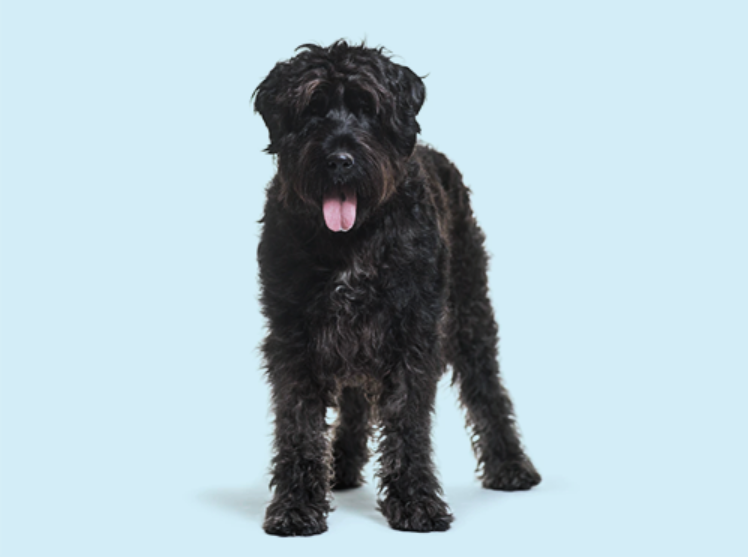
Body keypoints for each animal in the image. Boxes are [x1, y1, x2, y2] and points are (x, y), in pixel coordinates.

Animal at [254, 39, 540, 536]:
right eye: (312, 108)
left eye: (369, 108)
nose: (340, 160)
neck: (350, 241)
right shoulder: (294, 337)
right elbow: (299, 424)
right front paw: (295, 506)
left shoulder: (413, 333)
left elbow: (408, 421)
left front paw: (416, 502)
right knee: (353, 400)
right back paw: (342, 467)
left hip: (469, 312)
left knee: (487, 389)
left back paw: (511, 467)